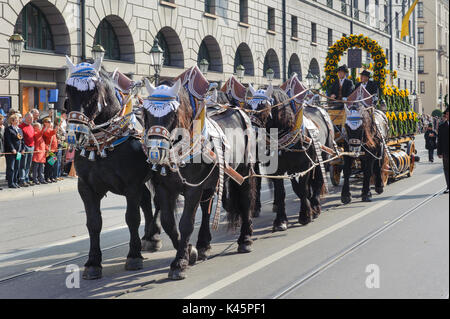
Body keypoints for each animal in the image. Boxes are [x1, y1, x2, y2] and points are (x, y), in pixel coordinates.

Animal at [65, 57, 160, 280]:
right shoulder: (86, 187)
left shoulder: (131, 185)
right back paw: (149, 237)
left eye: (93, 93)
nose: (75, 134)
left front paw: (133, 256)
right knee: (146, 200)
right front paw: (93, 263)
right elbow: (93, 223)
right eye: (67, 92)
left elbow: (132, 218)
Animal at [142, 67, 255, 280]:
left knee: (245, 200)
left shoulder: (193, 189)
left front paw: (180, 262)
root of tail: (237, 109)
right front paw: (190, 251)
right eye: (145, 112)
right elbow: (169, 223)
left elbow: (186, 222)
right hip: (210, 182)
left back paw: (245, 239)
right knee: (206, 208)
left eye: (173, 114)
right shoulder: (164, 188)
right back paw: (203, 244)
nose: (155, 153)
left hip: (243, 171)